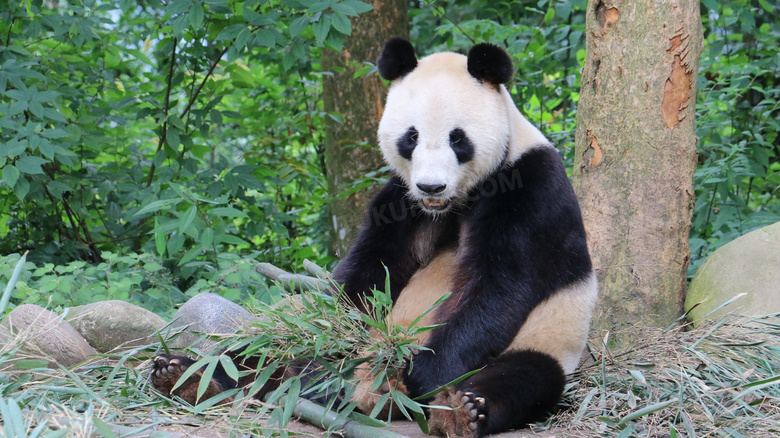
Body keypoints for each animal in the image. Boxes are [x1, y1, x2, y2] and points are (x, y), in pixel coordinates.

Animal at [149, 38, 596, 438]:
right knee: (263, 349)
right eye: (411, 136)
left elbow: (499, 286)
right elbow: (367, 275)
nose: (431, 186)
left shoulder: (529, 189)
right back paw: (189, 375)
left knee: (522, 377)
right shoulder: (400, 200)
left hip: (546, 338)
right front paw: (329, 348)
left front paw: (421, 375)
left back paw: (458, 411)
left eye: (458, 138)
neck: (452, 204)